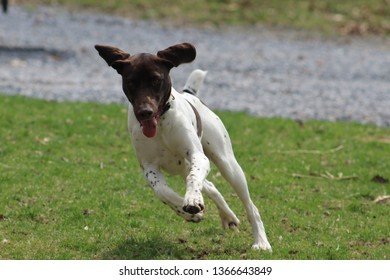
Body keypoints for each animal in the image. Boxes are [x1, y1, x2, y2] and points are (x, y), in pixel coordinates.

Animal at [94, 42, 272, 250]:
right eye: (131, 82)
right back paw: (227, 216)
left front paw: (193, 200)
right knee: (210, 186)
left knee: (250, 206)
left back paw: (261, 241)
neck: (161, 122)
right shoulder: (149, 167)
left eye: (156, 80)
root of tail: (190, 94)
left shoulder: (197, 156)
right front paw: (187, 211)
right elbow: (163, 192)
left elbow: (194, 179)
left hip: (227, 165)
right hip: (183, 168)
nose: (145, 112)